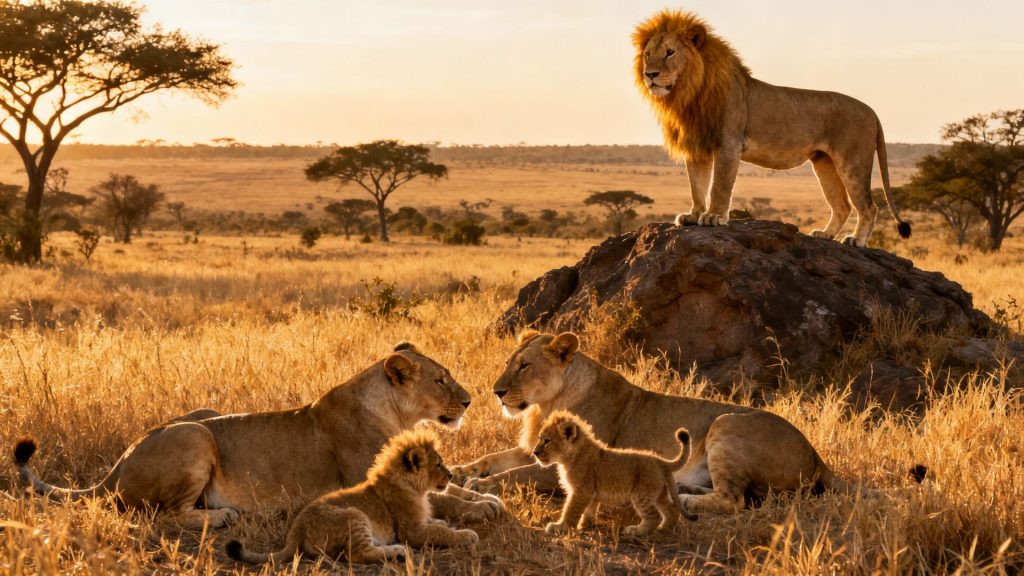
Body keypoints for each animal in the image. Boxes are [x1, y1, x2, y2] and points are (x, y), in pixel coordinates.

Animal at [13, 343, 502, 528]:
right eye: (440, 381)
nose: (470, 401)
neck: (394, 413)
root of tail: (117, 467)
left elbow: (448, 489)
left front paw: (486, 497)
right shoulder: (374, 485)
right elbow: (441, 499)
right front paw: (481, 508)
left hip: (202, 414)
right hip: (195, 435)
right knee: (160, 515)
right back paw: (221, 517)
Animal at [226, 428, 478, 565]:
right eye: (438, 463)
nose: (451, 474)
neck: (416, 488)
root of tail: (297, 528)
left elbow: (436, 524)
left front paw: (445, 523)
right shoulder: (411, 531)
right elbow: (439, 533)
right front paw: (465, 534)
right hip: (355, 516)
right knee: (358, 554)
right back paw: (397, 551)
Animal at [454, 331, 849, 515]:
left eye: (524, 366)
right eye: (509, 362)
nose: (496, 392)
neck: (546, 403)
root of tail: (816, 456)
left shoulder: (564, 467)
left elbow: (513, 475)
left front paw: (478, 486)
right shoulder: (532, 448)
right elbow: (493, 459)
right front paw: (461, 471)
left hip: (727, 423)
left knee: (734, 500)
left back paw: (684, 501)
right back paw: (683, 489)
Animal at [533, 410, 696, 536]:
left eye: (546, 441)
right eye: (539, 438)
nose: (535, 452)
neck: (570, 457)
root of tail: (661, 461)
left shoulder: (581, 490)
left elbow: (571, 510)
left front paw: (561, 527)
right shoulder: (591, 492)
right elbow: (589, 509)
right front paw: (585, 525)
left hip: (641, 494)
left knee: (654, 516)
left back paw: (635, 531)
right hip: (658, 493)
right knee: (672, 510)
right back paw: (664, 529)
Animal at [633, 9, 911, 247]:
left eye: (670, 53)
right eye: (648, 54)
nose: (650, 75)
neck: (689, 93)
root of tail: (872, 111)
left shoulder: (729, 144)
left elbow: (719, 185)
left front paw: (713, 216)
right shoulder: (698, 145)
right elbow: (697, 185)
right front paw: (693, 215)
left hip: (853, 161)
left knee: (868, 206)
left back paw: (857, 240)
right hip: (824, 163)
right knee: (842, 205)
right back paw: (825, 234)